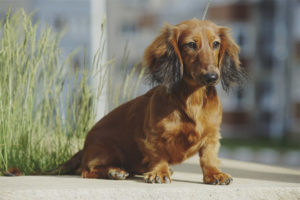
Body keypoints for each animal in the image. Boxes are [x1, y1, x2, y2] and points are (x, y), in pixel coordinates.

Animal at [54, 18, 246, 184]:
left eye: (216, 44)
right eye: (191, 44)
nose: (212, 77)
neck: (193, 99)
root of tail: (85, 147)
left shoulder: (212, 136)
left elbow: (209, 157)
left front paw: (214, 174)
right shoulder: (154, 136)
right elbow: (158, 154)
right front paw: (159, 173)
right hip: (107, 150)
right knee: (86, 170)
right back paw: (114, 171)